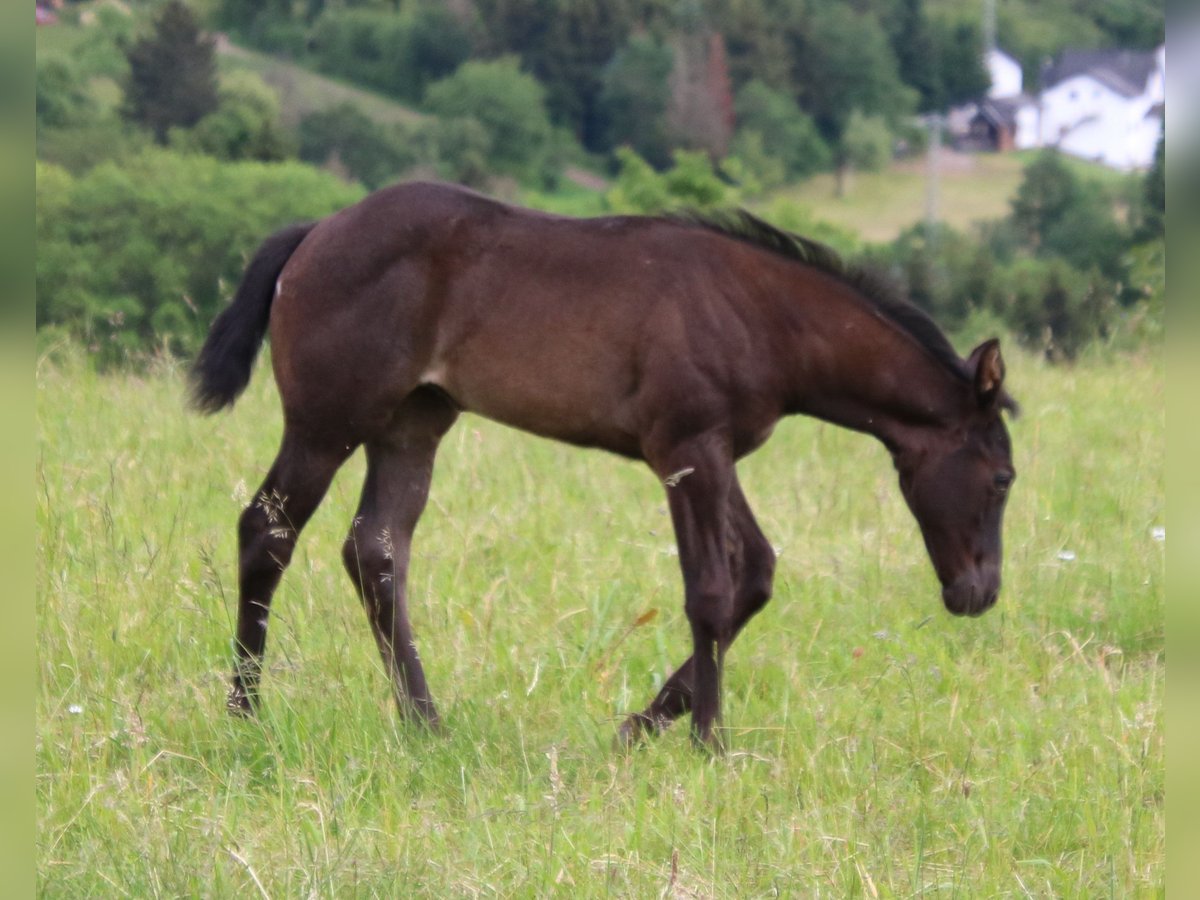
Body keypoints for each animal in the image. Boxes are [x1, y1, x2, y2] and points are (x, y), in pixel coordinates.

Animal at [192, 180, 1017, 748]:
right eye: (1004, 478)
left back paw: (426, 723)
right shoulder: (686, 452)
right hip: (327, 421)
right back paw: (245, 711)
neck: (761, 318)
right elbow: (710, 590)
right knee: (266, 532)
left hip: (411, 424)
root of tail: (315, 232)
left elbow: (754, 574)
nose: (978, 593)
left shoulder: (717, 453)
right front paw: (707, 742)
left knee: (376, 549)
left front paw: (642, 724)